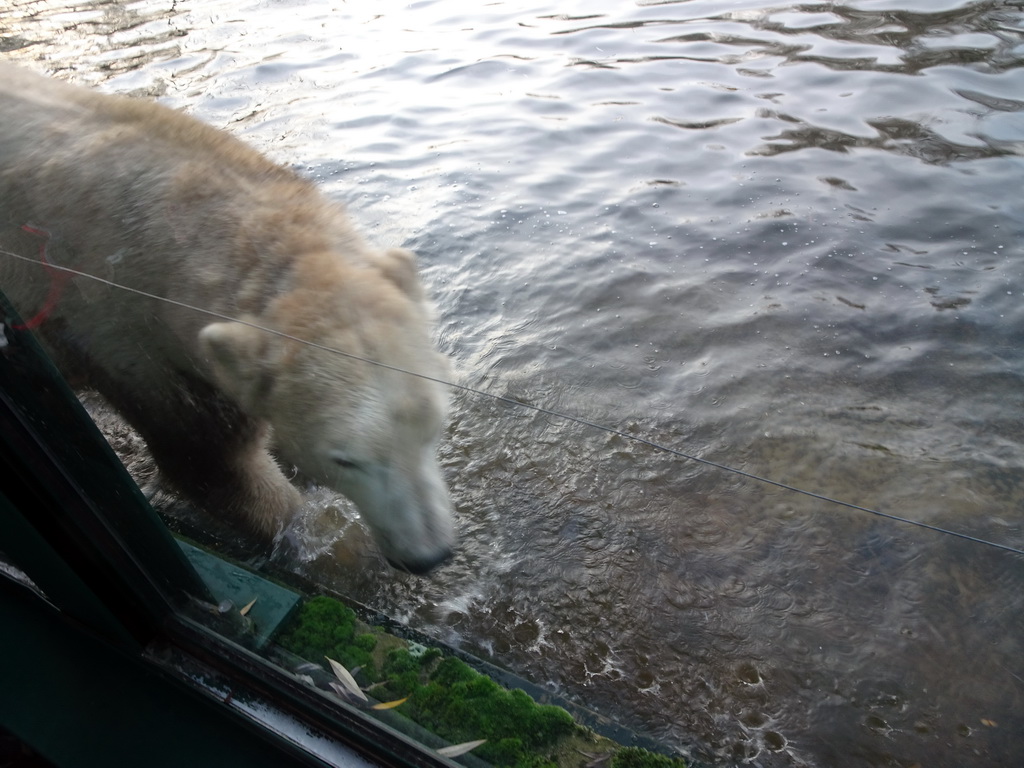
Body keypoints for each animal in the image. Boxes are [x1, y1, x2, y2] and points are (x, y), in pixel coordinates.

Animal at [0, 63, 456, 573]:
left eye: (433, 427)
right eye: (346, 459)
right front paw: (332, 549)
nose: (428, 556)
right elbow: (215, 465)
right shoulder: (129, 343)